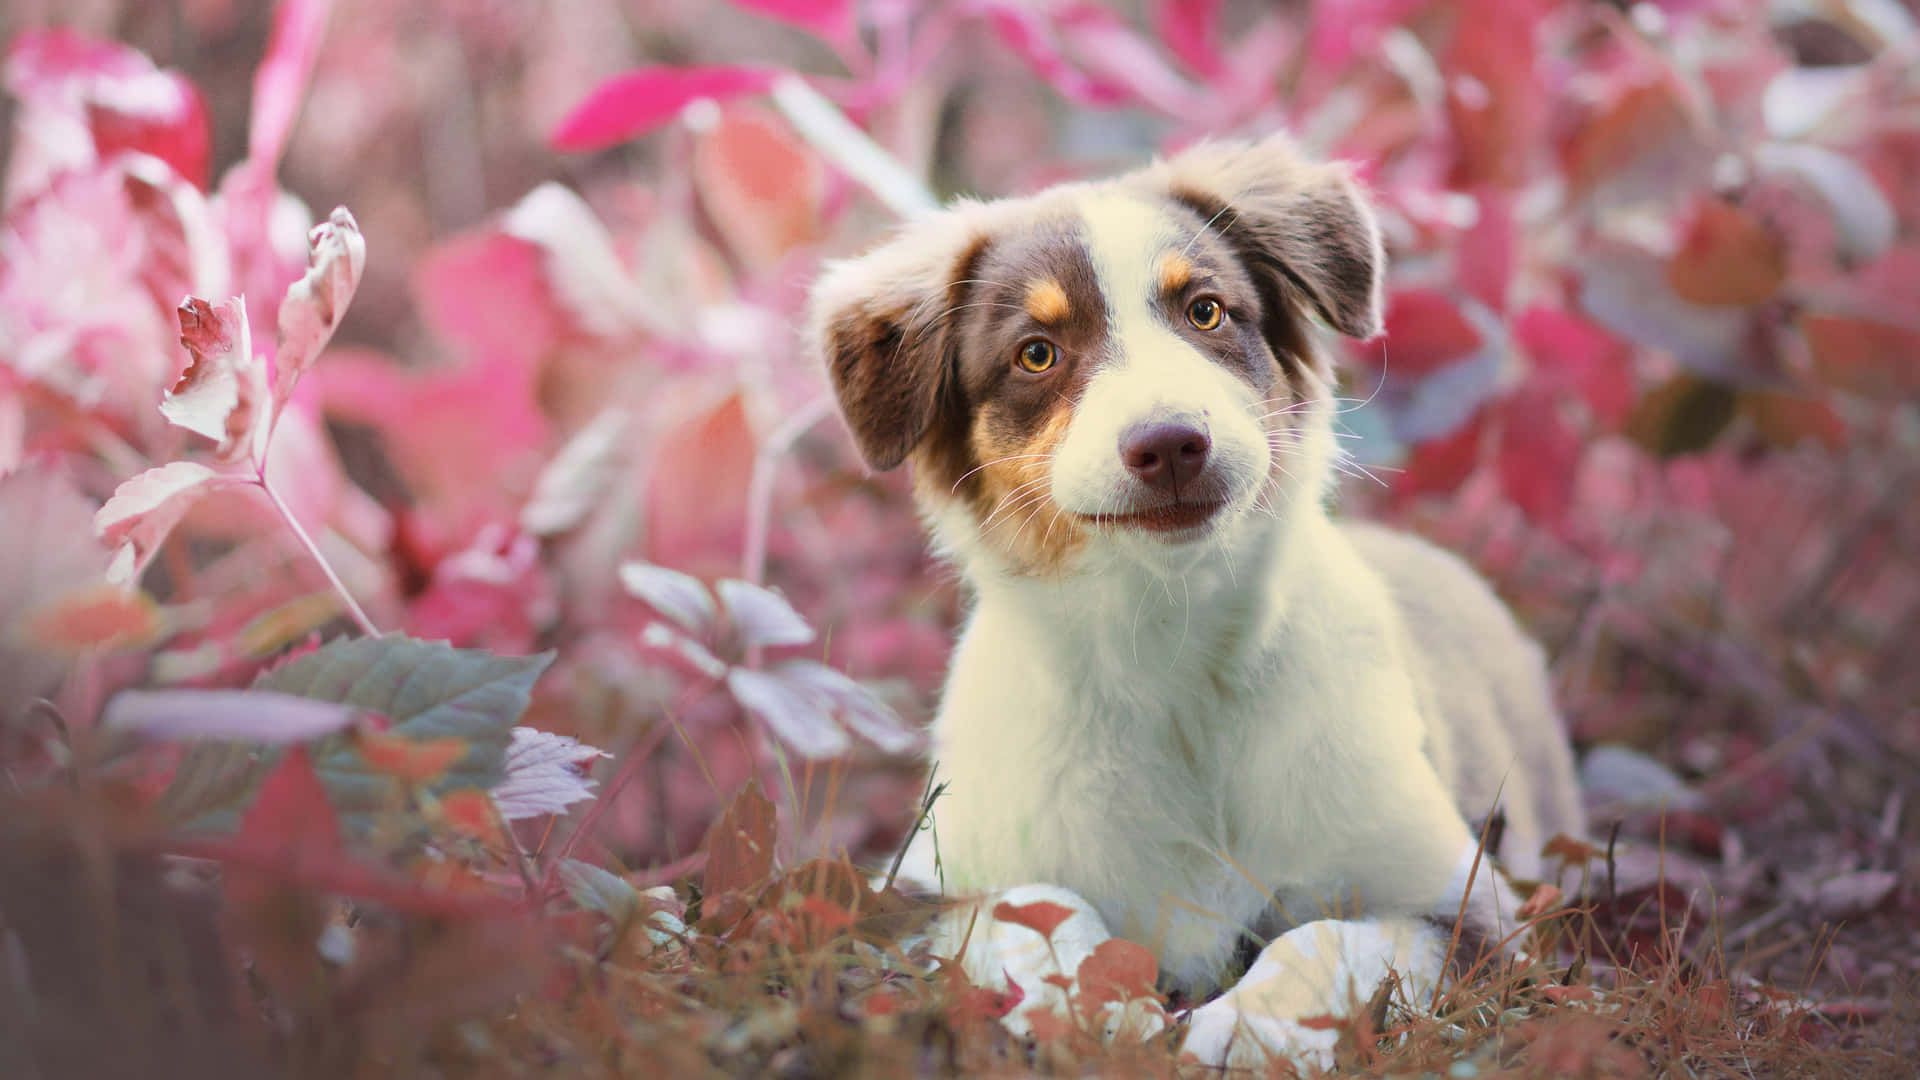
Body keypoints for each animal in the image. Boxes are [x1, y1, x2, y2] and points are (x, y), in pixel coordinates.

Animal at [802, 134, 1582, 1053]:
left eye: (1206, 312)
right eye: (1036, 353)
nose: (1171, 444)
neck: (1171, 653)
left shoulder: (1474, 912)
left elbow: (1323, 937)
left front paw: (1242, 1031)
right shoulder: (923, 889)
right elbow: (1032, 909)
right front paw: (1098, 1012)